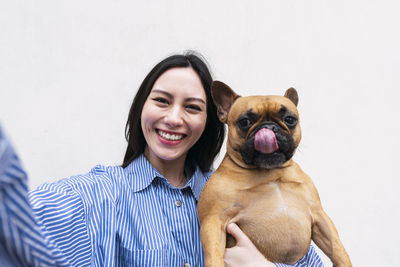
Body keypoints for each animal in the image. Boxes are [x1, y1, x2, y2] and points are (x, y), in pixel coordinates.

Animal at [198, 82, 352, 267]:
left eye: (290, 119)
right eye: (245, 122)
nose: (269, 127)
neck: (270, 172)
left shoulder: (319, 215)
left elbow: (336, 247)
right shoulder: (214, 220)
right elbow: (214, 254)